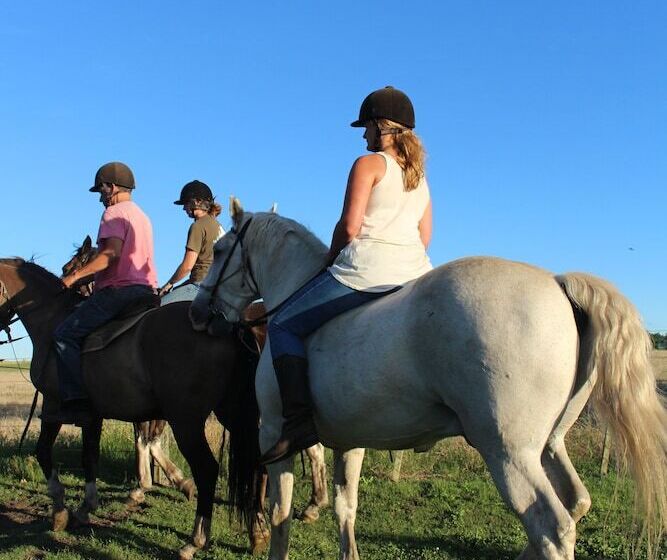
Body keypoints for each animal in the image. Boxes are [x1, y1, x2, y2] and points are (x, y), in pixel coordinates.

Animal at [0, 256, 268, 559]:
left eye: (73, 266)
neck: (52, 320)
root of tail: (230, 325)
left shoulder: (53, 406)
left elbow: (44, 451)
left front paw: (60, 512)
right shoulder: (93, 415)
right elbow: (91, 456)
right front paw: (86, 508)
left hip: (186, 420)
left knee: (207, 469)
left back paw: (195, 540)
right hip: (232, 413)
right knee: (257, 462)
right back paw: (258, 532)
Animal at [190, 199, 667, 560]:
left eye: (221, 250)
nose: (198, 313)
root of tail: (557, 282)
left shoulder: (274, 434)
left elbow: (281, 515)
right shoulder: (350, 441)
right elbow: (346, 508)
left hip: (510, 454)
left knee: (552, 529)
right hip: (548, 446)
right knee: (576, 503)